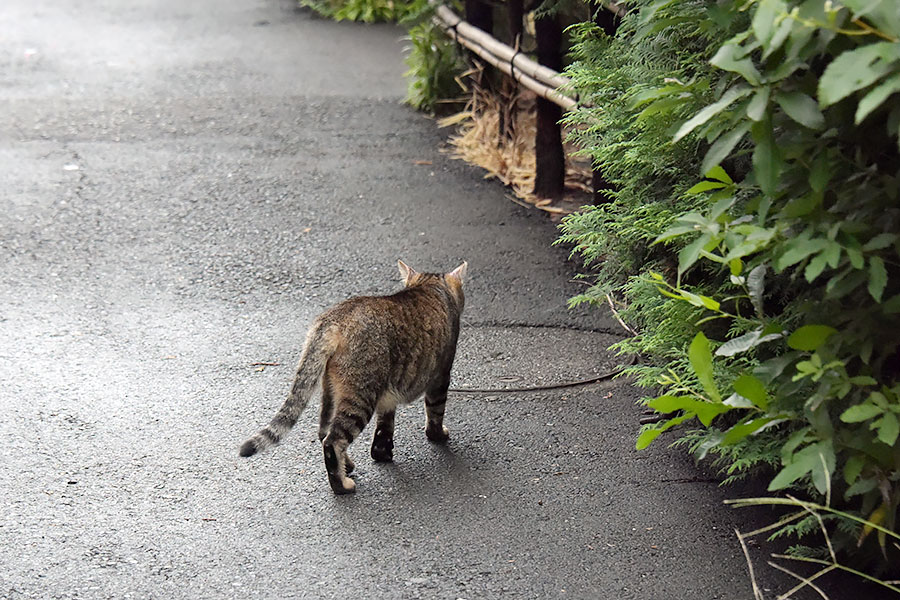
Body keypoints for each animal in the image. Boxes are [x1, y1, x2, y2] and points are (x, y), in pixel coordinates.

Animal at [239, 260, 468, 494]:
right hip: (360, 395)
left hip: (331, 390)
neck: (429, 287)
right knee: (333, 440)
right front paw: (438, 435)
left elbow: (384, 428)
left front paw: (382, 452)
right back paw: (342, 485)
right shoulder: (441, 376)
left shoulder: (388, 395)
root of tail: (332, 320)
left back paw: (346, 466)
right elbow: (435, 411)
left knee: (323, 431)